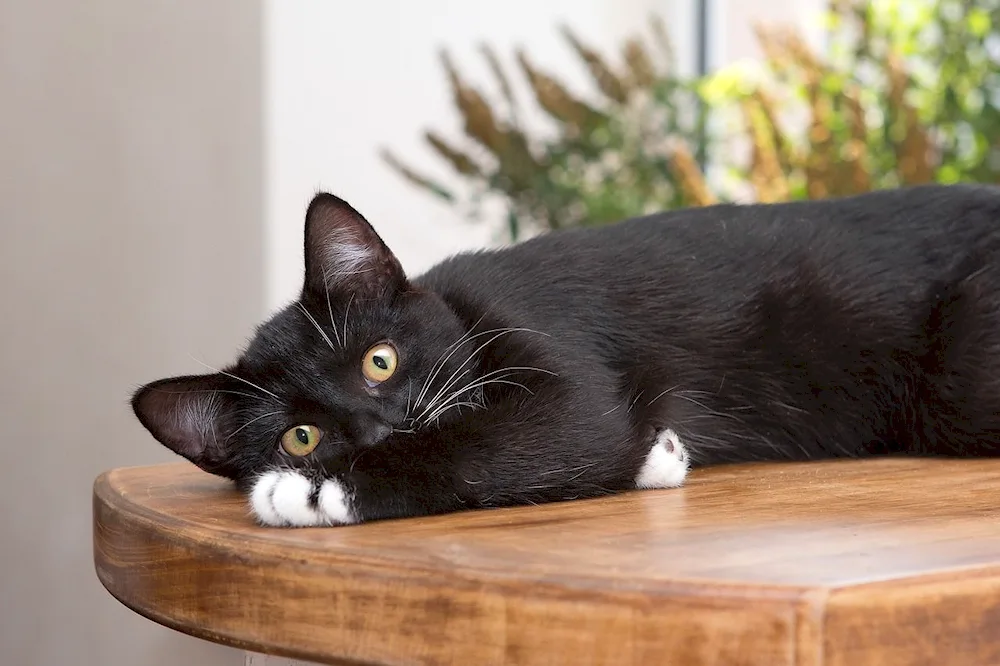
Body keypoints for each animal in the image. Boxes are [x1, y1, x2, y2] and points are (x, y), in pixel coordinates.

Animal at [131, 183, 1000, 524]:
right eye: (300, 434)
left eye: (380, 361)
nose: (384, 428)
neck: (461, 314)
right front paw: (658, 460)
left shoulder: (551, 344)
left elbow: (534, 436)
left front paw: (313, 493)